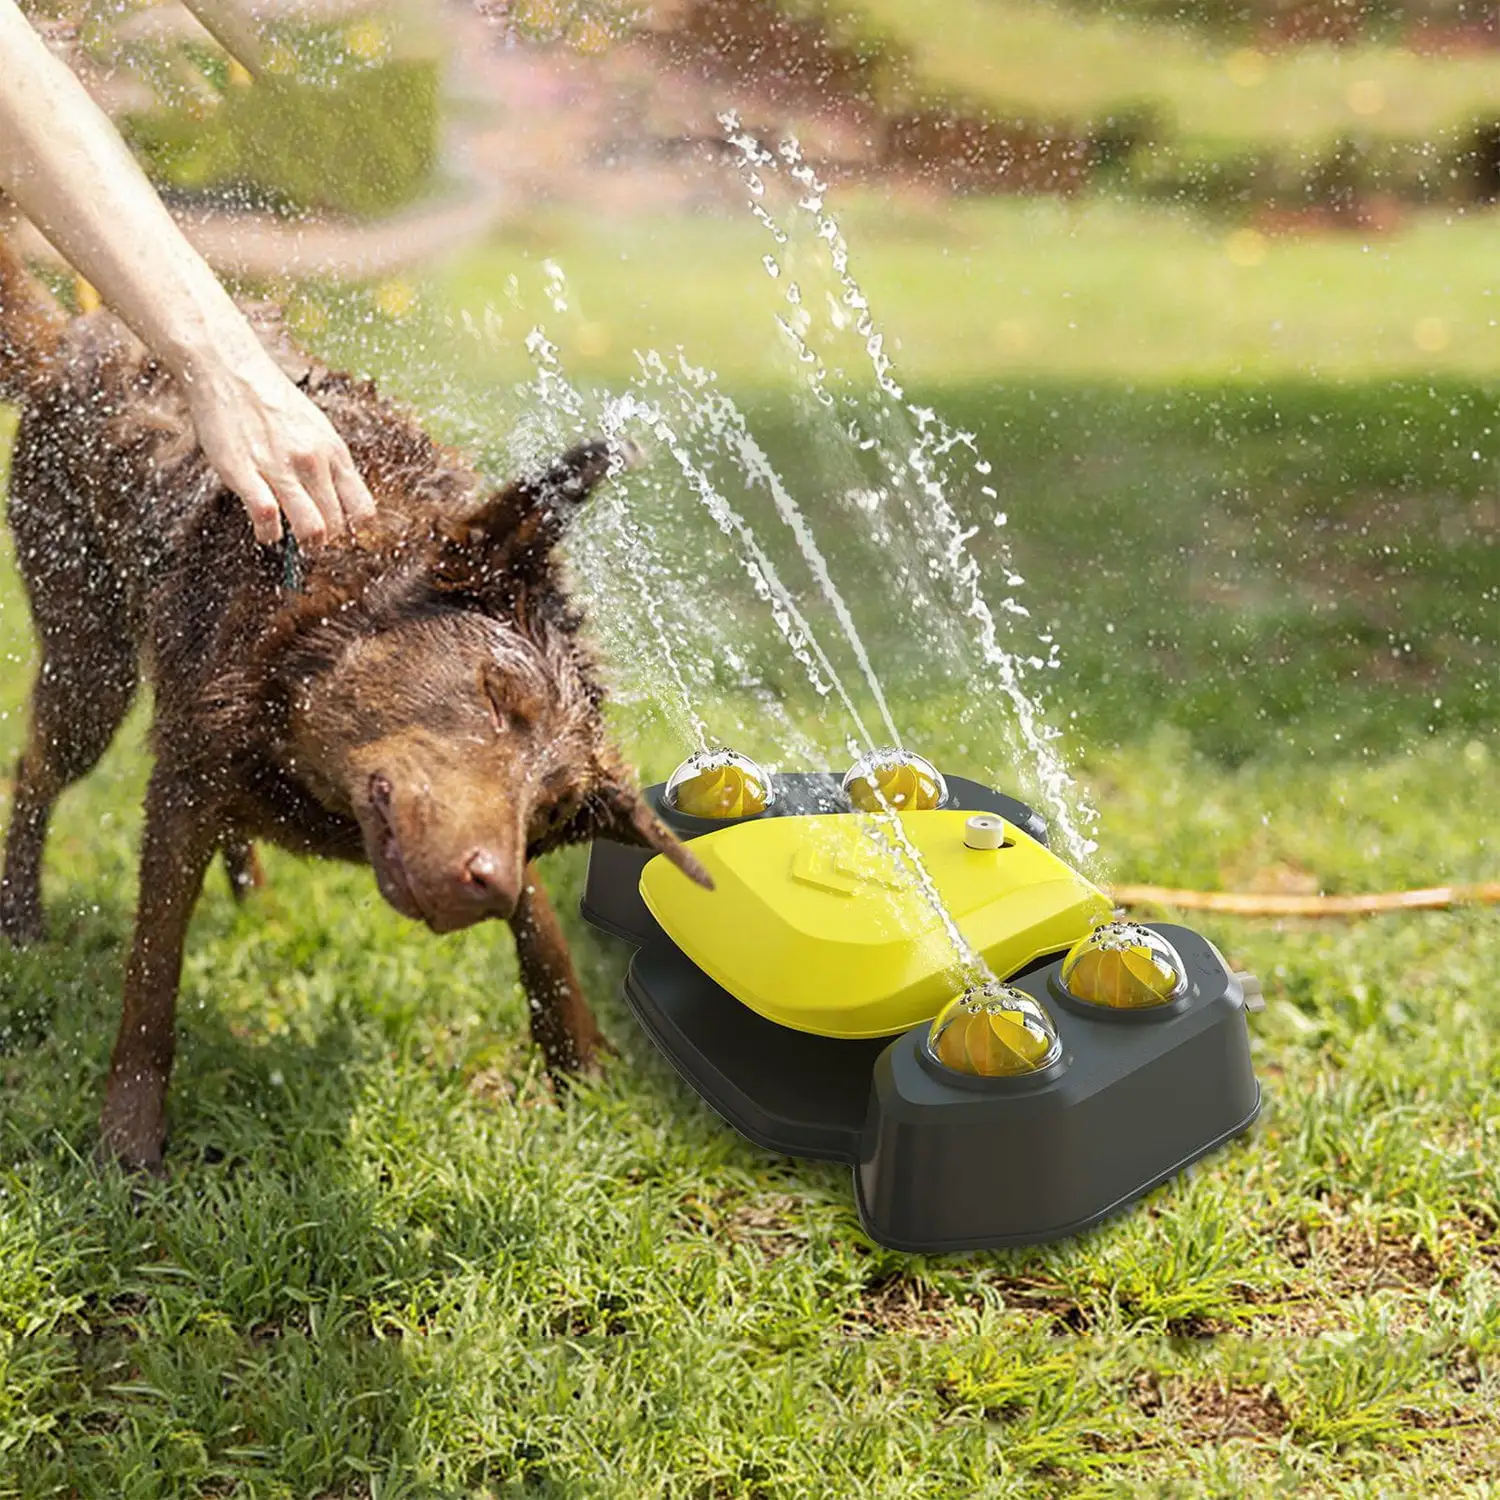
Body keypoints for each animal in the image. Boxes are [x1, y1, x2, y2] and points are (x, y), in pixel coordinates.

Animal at [0, 237, 708, 1170]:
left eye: (554, 810)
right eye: (497, 696)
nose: (486, 886)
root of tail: (69, 340)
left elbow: (546, 930)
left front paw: (580, 1068)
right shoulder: (189, 774)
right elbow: (153, 971)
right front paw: (129, 1145)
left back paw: (250, 890)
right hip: (91, 660)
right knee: (35, 770)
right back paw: (21, 918)